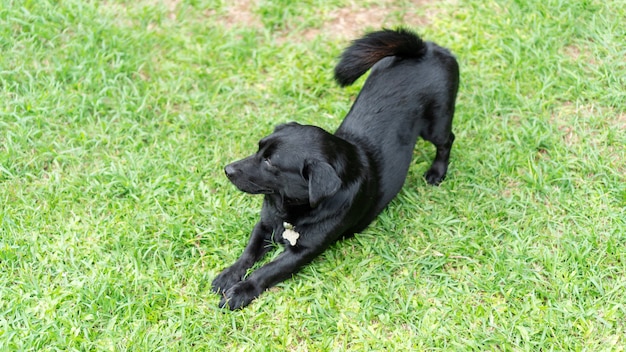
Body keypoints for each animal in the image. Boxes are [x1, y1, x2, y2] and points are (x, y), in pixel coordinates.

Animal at [212, 28, 456, 310]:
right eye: (258, 149)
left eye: (270, 162)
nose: (227, 169)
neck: (291, 210)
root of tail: (426, 49)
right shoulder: (264, 227)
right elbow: (248, 252)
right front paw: (229, 275)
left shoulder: (301, 252)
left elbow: (267, 271)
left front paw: (242, 291)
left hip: (436, 125)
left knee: (447, 141)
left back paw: (437, 172)